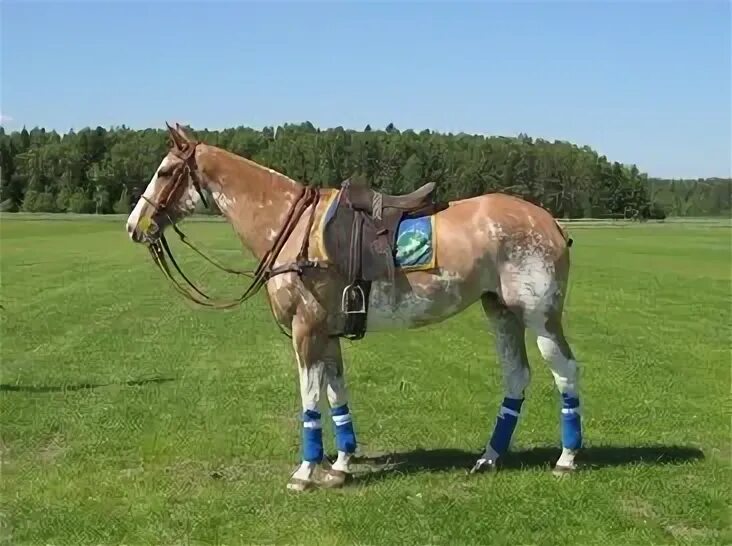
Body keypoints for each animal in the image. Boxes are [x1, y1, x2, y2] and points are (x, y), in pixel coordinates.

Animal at [126, 123, 584, 488]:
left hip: (540, 316)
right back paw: (489, 457)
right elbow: (336, 394)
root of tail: (551, 223)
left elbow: (310, 398)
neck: (292, 228)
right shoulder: (329, 332)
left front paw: (305, 472)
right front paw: (341, 464)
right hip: (501, 311)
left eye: (165, 172)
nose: (134, 226)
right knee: (516, 376)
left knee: (565, 371)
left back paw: (567, 458)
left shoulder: (306, 329)